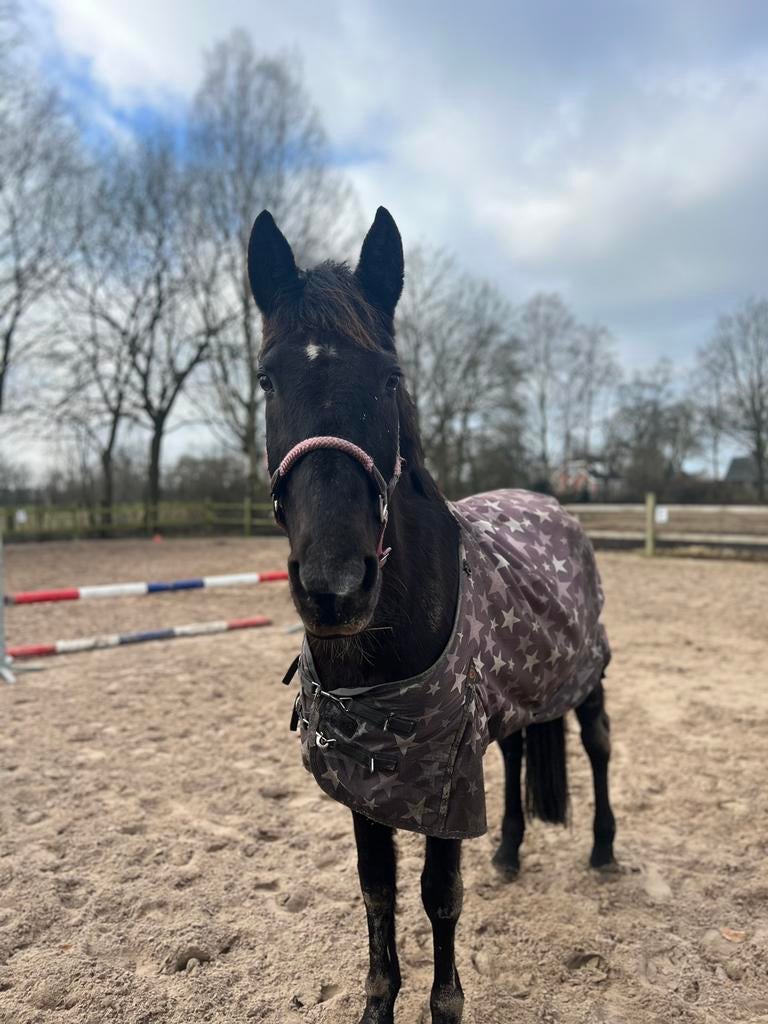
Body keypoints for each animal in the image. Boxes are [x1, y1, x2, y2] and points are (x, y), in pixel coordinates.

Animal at [247, 207, 617, 1024]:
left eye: (390, 378)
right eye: (266, 378)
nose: (334, 587)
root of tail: (551, 503)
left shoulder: (444, 776)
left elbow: (439, 895)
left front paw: (444, 1006)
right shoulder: (365, 776)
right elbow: (377, 893)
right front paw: (377, 1005)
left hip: (588, 675)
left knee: (600, 745)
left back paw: (606, 852)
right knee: (518, 754)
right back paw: (509, 852)